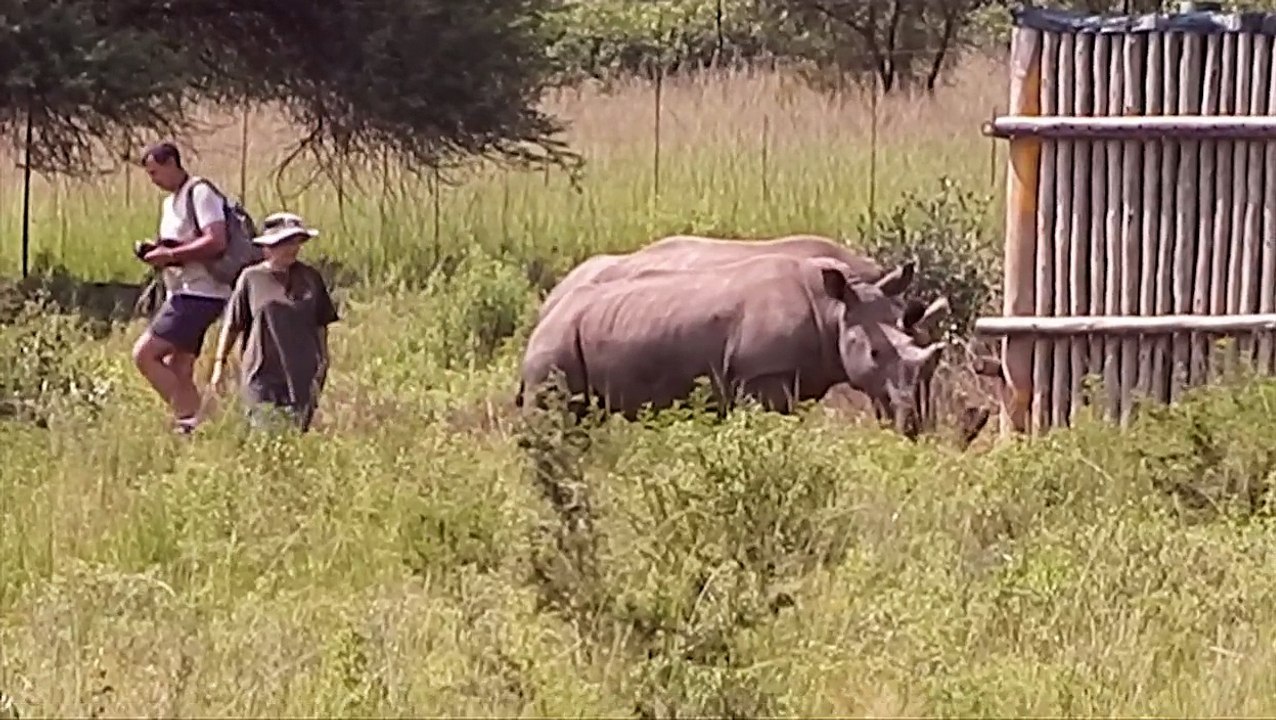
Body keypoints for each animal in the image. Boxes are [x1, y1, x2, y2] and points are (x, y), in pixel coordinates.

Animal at [518, 253, 948, 439]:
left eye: (912, 339)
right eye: (875, 354)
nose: (913, 427)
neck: (835, 309)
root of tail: (547, 307)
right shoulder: (763, 376)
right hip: (557, 340)